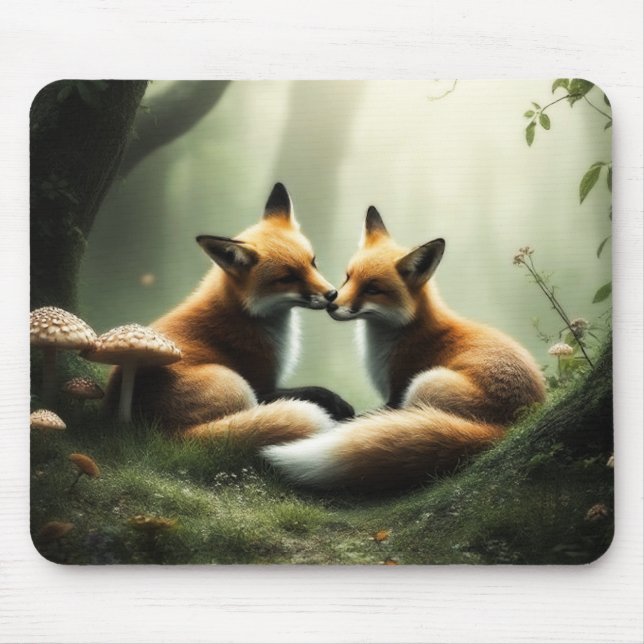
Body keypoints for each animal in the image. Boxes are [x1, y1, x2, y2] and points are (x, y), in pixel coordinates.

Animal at [106, 183, 353, 444]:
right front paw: (337, 403)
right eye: (287, 278)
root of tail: (165, 435)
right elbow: (313, 391)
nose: (332, 294)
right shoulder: (262, 384)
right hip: (238, 385)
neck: (244, 313)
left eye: (312, 262)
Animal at [262, 206, 546, 490]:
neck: (403, 332)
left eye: (372, 289)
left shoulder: (396, 392)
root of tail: (508, 428)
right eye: (348, 277)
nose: (332, 304)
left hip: (424, 384)